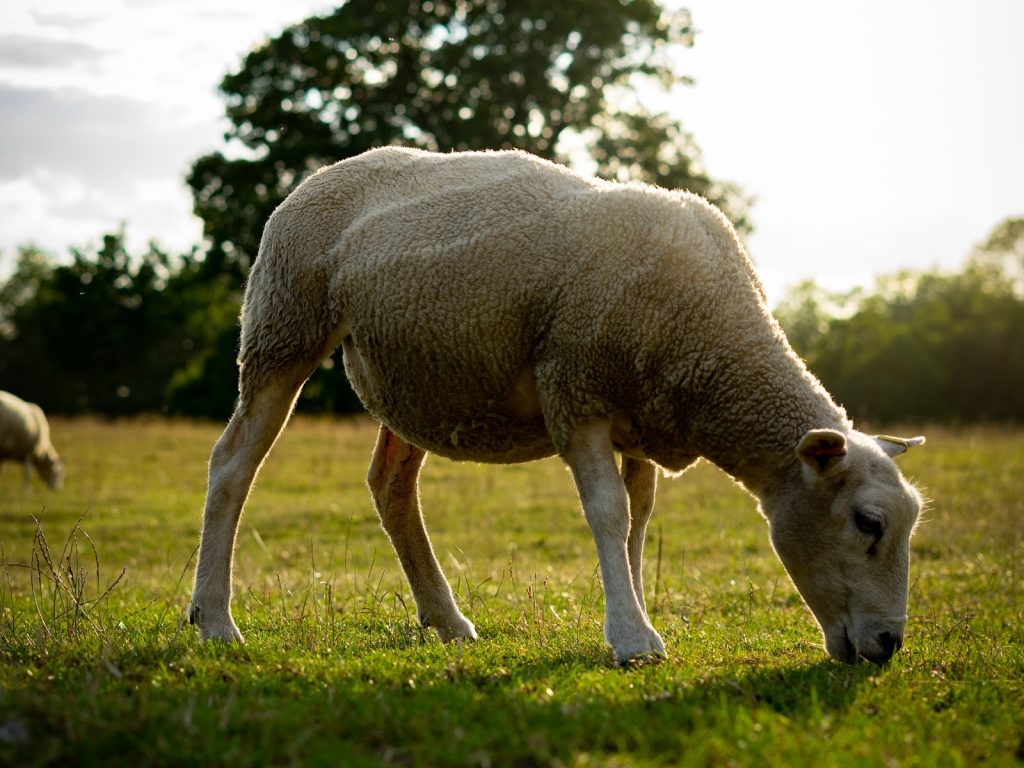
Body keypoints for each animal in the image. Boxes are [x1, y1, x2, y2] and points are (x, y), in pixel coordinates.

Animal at [186, 148, 929, 667]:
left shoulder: (639, 418)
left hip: (418, 374)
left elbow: (638, 523)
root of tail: (321, 175)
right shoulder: (577, 390)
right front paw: (632, 638)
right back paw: (215, 620)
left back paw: (446, 620)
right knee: (232, 464)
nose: (889, 645)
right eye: (868, 523)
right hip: (284, 322)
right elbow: (608, 515)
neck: (713, 344)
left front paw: (638, 616)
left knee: (390, 485)